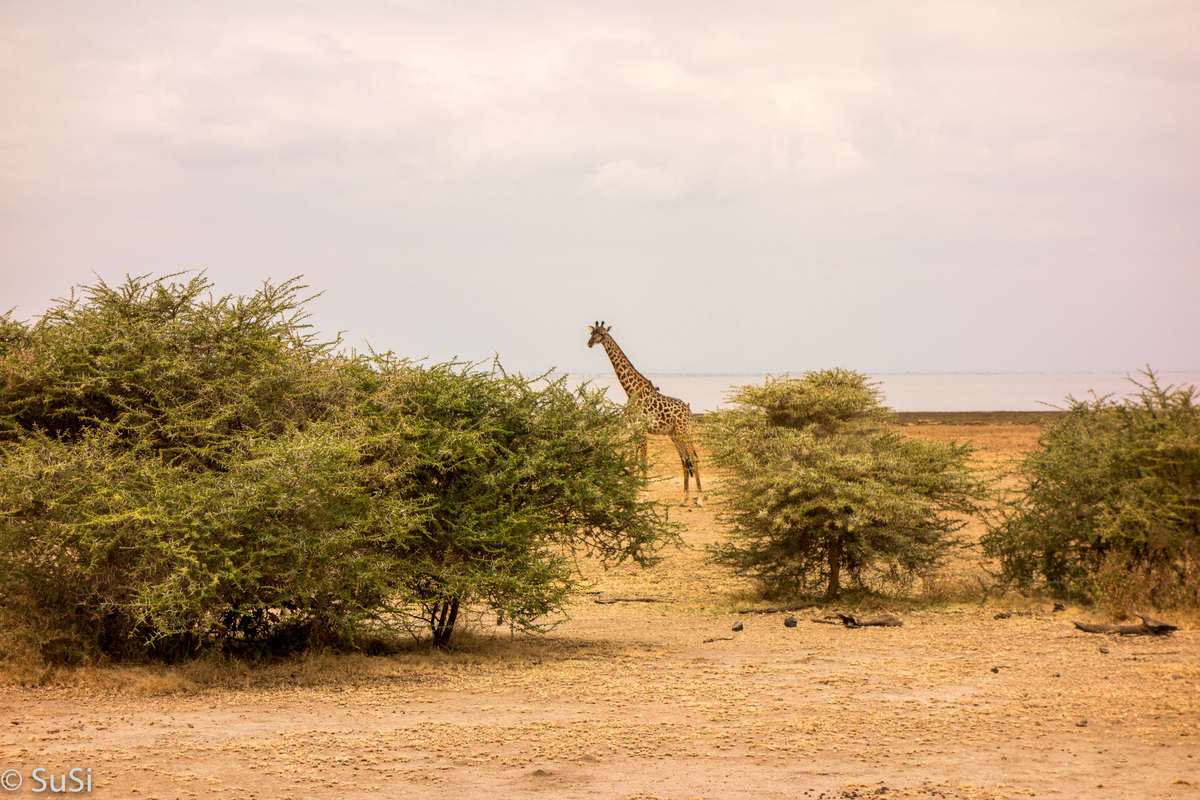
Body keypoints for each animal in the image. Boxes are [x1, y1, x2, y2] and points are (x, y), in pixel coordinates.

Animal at [583, 321, 700, 503]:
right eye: (591, 333)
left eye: (601, 334)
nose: (589, 343)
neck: (630, 390)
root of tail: (689, 410)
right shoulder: (632, 430)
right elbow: (632, 462)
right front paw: (629, 492)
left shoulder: (642, 429)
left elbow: (644, 461)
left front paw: (645, 494)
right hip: (674, 433)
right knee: (684, 459)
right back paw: (685, 497)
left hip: (684, 430)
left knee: (693, 457)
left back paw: (701, 496)